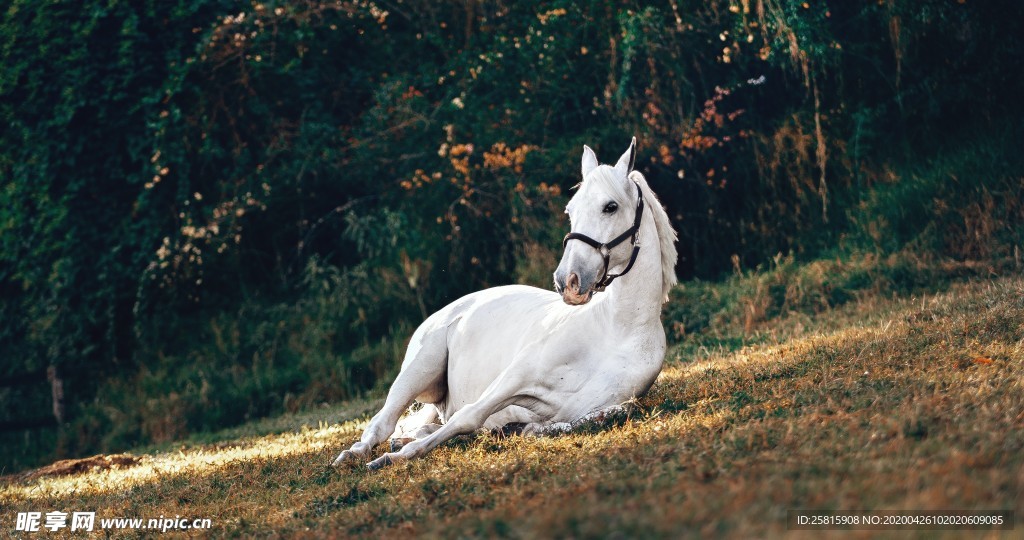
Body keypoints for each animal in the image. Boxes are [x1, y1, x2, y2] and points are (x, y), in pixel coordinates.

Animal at [331, 137, 675, 471]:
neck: (617, 330)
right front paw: (395, 459)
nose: (568, 281)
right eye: (571, 210)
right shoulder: (515, 377)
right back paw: (355, 454)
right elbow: (468, 415)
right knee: (382, 423)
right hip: (417, 371)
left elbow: (607, 414)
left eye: (610, 207)